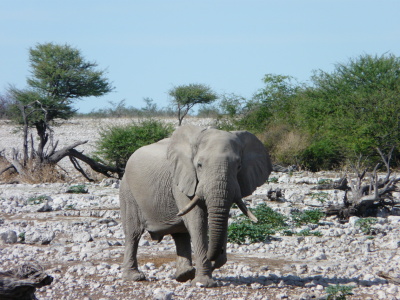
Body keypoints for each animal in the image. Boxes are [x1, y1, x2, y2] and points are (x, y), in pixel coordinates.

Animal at [120, 125, 272, 288]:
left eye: (238, 166)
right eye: (199, 165)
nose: (213, 259)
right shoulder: (181, 181)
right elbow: (197, 221)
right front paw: (204, 282)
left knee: (180, 234)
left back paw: (184, 275)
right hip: (127, 191)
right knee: (133, 233)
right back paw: (135, 277)